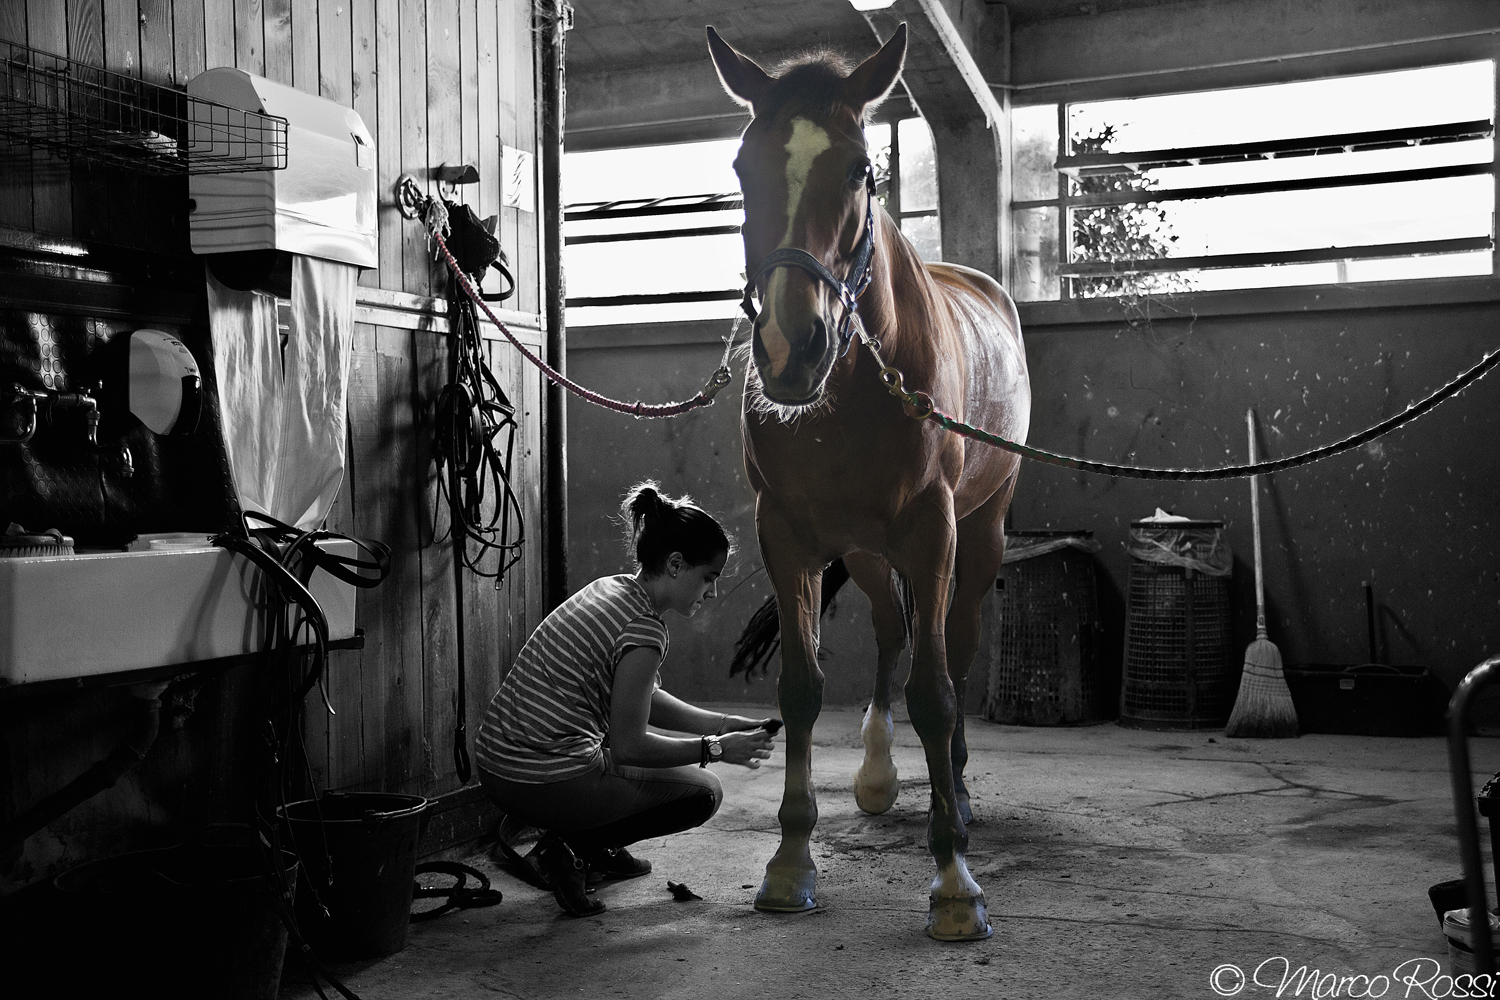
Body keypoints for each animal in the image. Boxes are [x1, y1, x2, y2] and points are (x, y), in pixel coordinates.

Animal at [707, 24, 1032, 941]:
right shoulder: (788, 534)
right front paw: (790, 864)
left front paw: (954, 880)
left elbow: (937, 692)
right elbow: (803, 688)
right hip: (867, 549)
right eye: (741, 166)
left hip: (976, 534)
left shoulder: (932, 529)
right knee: (891, 633)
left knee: (953, 645)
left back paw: (957, 791)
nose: (790, 350)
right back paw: (881, 779)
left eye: (860, 169)